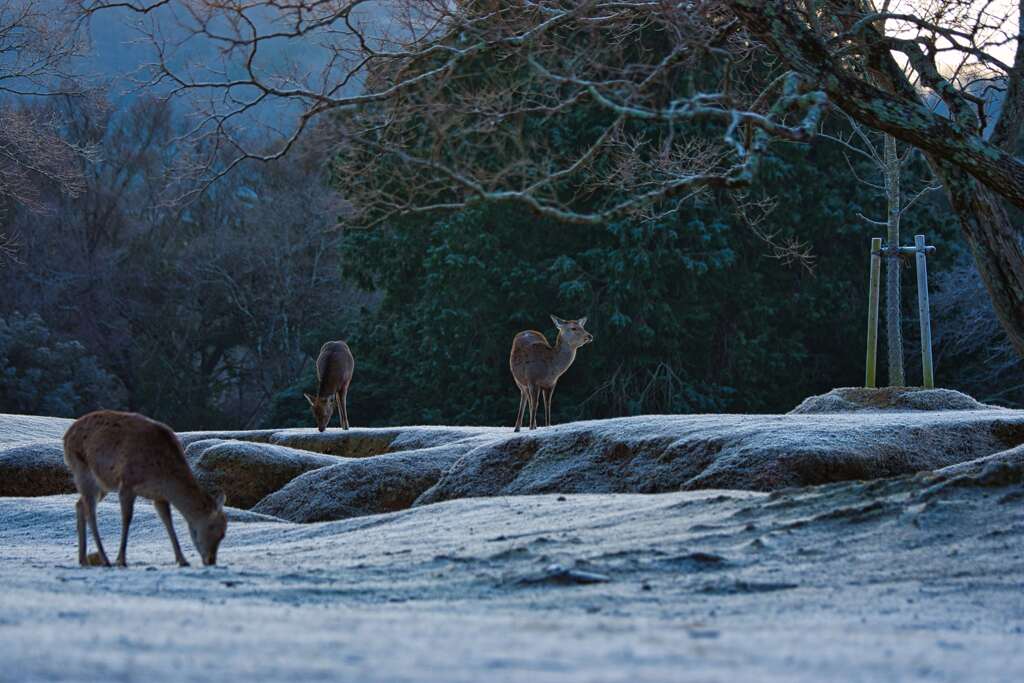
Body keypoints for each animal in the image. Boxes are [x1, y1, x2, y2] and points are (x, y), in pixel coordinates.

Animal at [62, 413, 227, 569]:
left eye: (223, 533)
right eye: (214, 528)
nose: (211, 560)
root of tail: (66, 436)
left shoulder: (159, 496)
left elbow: (168, 521)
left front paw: (182, 560)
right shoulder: (127, 483)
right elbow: (127, 518)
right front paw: (121, 560)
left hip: (103, 483)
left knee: (80, 505)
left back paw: (83, 560)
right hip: (83, 470)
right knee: (90, 512)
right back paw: (105, 560)